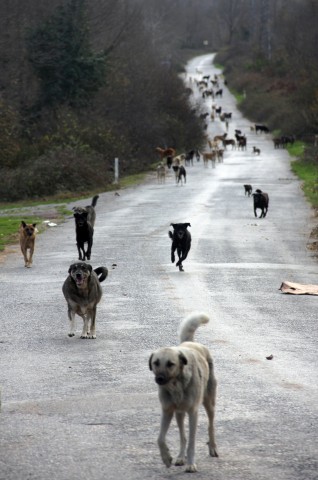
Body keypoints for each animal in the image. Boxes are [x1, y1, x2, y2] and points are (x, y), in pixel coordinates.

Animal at [149, 312, 219, 472]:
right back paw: (181, 457)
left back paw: (212, 447)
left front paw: (191, 464)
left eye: (170, 364)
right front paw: (166, 458)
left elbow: (192, 442)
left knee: (210, 426)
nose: (159, 379)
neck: (176, 386)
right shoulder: (167, 411)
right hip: (179, 413)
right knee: (182, 435)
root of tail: (190, 343)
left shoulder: (193, 412)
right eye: (156, 363)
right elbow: (160, 438)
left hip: (209, 403)